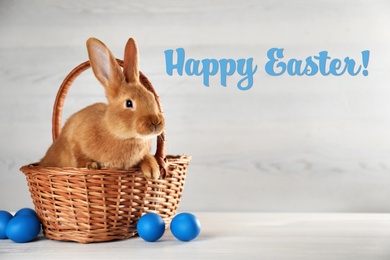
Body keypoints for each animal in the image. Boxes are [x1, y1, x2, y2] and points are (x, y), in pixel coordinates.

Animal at [40, 37, 166, 180]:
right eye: (129, 103)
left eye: (151, 96)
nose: (156, 122)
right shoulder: (73, 139)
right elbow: (78, 155)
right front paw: (91, 165)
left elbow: (146, 157)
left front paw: (153, 170)